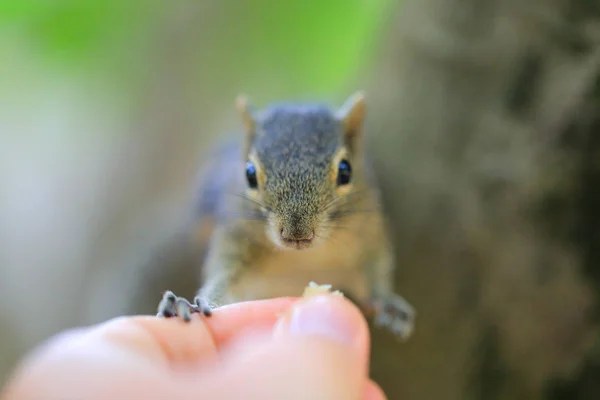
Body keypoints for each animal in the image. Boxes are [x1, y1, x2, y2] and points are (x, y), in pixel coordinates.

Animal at [157, 92, 414, 340]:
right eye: (249, 173)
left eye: (345, 170)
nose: (297, 233)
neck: (303, 258)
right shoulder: (234, 237)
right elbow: (227, 282)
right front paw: (192, 305)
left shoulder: (369, 235)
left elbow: (373, 273)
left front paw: (386, 302)